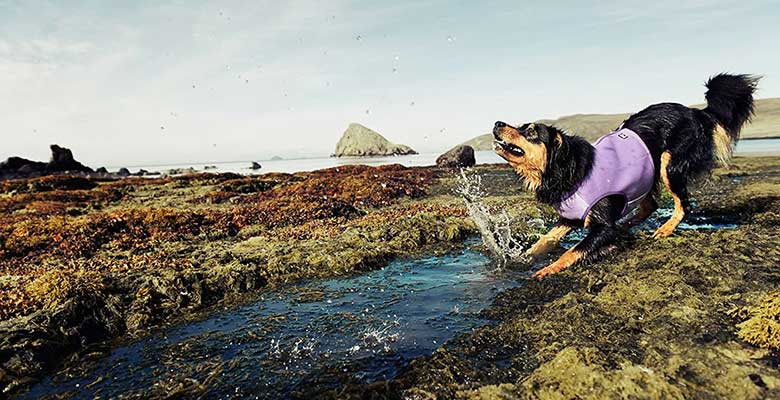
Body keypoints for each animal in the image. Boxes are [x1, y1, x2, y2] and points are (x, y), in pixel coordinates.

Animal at [496, 72, 760, 278]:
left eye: (530, 131)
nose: (497, 123)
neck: (566, 168)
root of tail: (697, 113)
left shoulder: (601, 225)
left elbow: (574, 250)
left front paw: (547, 269)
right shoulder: (570, 218)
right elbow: (545, 239)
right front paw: (524, 257)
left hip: (669, 164)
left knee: (683, 204)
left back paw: (664, 229)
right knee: (650, 205)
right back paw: (627, 225)